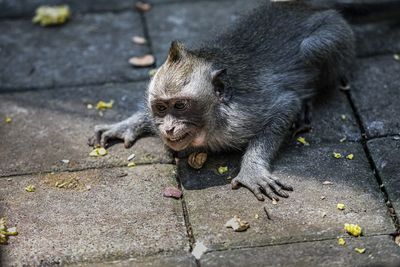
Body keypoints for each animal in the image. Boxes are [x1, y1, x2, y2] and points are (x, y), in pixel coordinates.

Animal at [89, 0, 354, 201]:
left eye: (180, 106)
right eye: (161, 108)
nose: (169, 128)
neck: (212, 120)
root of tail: (309, 6)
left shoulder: (241, 116)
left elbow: (286, 105)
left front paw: (252, 169)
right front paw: (125, 124)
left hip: (335, 31)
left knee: (312, 47)